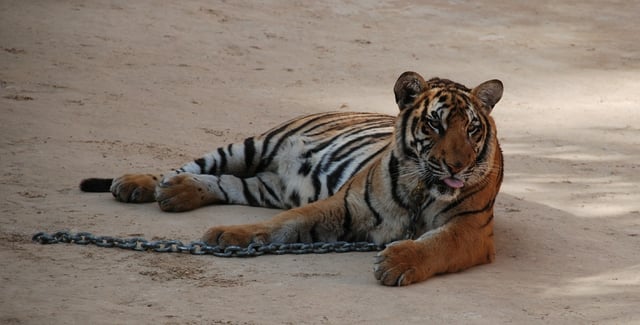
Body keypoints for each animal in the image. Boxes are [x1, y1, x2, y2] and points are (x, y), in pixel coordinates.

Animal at [81, 71, 504, 286]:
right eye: (434, 124)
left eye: (471, 130)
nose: (456, 167)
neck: (421, 189)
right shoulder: (345, 205)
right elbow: (286, 223)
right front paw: (229, 236)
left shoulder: (471, 229)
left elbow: (436, 245)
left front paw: (397, 262)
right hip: (251, 146)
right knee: (189, 166)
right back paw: (139, 184)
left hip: (265, 186)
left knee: (225, 183)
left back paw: (177, 194)